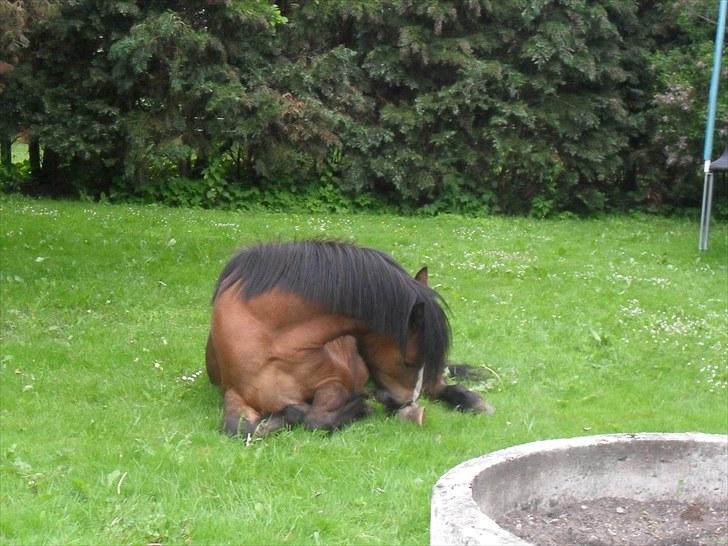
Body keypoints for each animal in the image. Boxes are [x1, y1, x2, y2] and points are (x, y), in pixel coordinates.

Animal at [205, 238, 490, 438]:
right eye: (408, 361)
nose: (408, 403)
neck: (271, 340)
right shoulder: (235, 395)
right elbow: (238, 428)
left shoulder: (333, 383)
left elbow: (316, 419)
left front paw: (360, 407)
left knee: (439, 386)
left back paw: (472, 402)